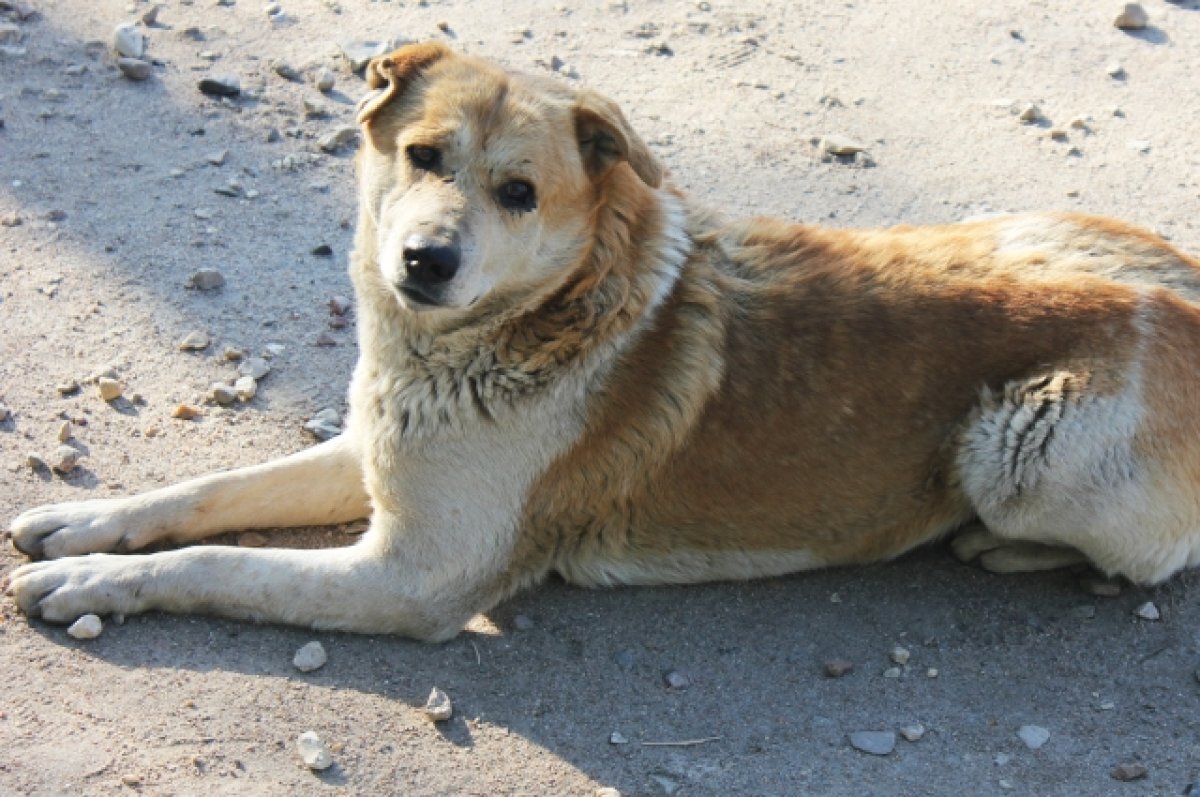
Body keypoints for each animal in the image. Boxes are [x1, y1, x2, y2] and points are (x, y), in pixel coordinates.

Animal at [7, 42, 1200, 643]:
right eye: (424, 155)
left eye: (520, 193)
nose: (425, 262)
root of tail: (1189, 300)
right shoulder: (376, 453)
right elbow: (206, 495)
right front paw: (88, 525)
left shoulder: (410, 577)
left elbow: (221, 562)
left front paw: (94, 585)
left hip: (1024, 449)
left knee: (1153, 556)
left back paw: (998, 546)